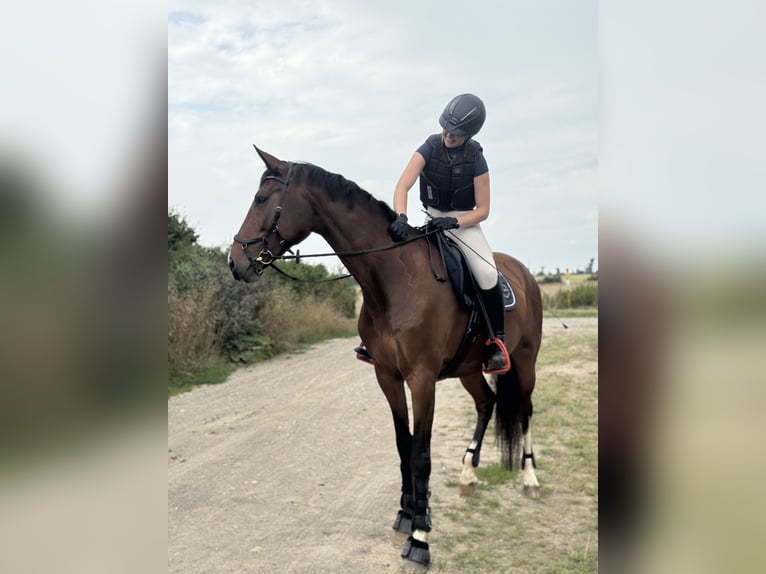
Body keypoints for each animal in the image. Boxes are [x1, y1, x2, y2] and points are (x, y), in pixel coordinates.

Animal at [228, 147, 543, 567]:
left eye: (261, 199)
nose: (234, 262)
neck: (393, 279)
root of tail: (524, 273)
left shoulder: (422, 380)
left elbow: (422, 453)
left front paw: (421, 538)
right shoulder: (387, 376)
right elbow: (402, 444)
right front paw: (407, 514)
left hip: (524, 362)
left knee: (523, 412)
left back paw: (530, 480)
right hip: (468, 370)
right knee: (486, 403)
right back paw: (467, 475)